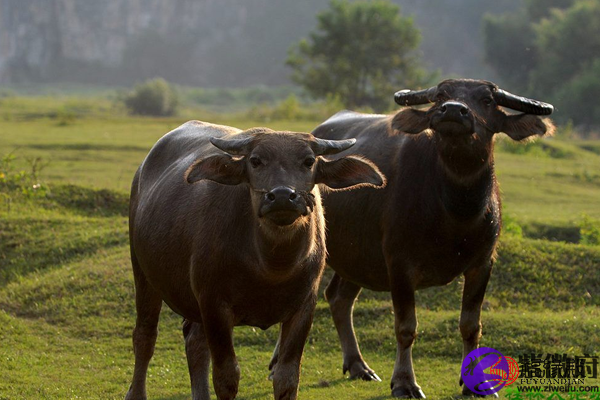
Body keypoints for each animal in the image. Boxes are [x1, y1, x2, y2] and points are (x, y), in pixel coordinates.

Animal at [125, 121, 384, 400]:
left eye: (308, 161)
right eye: (256, 160)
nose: (282, 196)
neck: (271, 266)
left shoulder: (304, 307)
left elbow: (287, 377)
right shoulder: (214, 304)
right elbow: (227, 377)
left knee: (194, 342)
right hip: (142, 272)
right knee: (145, 336)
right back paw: (136, 391)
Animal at [310, 79, 552, 396]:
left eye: (487, 100)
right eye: (440, 96)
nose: (453, 110)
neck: (456, 212)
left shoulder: (483, 264)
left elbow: (470, 325)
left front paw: (476, 382)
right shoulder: (399, 264)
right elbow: (406, 327)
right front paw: (404, 382)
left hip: (358, 257)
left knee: (339, 297)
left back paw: (358, 366)